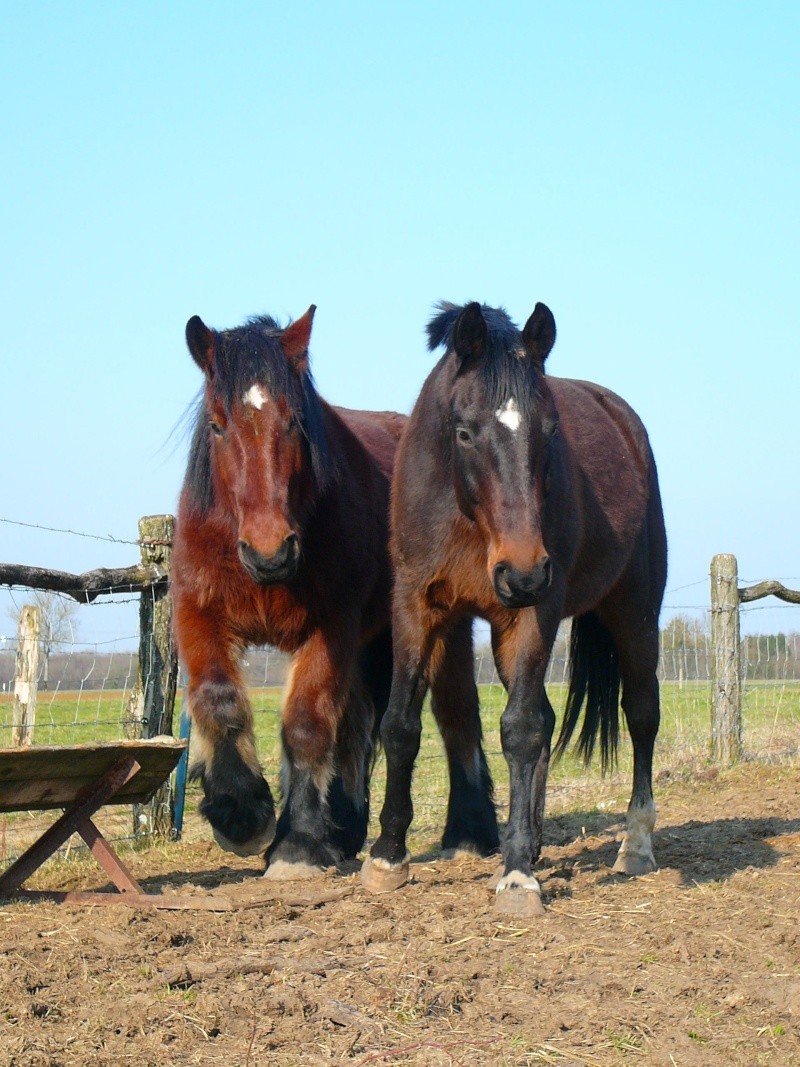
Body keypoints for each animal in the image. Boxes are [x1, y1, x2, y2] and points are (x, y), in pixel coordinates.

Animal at [171, 305, 499, 870]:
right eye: (216, 425)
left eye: (295, 421)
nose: (270, 552)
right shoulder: (198, 612)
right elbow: (218, 700)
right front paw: (240, 813)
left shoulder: (331, 626)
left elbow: (305, 722)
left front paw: (298, 843)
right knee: (358, 724)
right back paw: (345, 828)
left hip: (440, 625)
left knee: (456, 714)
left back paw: (470, 831)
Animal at [360, 303, 665, 917]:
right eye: (463, 432)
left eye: (550, 430)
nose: (523, 570)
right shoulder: (416, 606)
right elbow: (401, 725)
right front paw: (387, 857)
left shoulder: (531, 615)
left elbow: (520, 730)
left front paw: (518, 875)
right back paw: (539, 840)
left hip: (635, 610)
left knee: (641, 714)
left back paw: (635, 845)